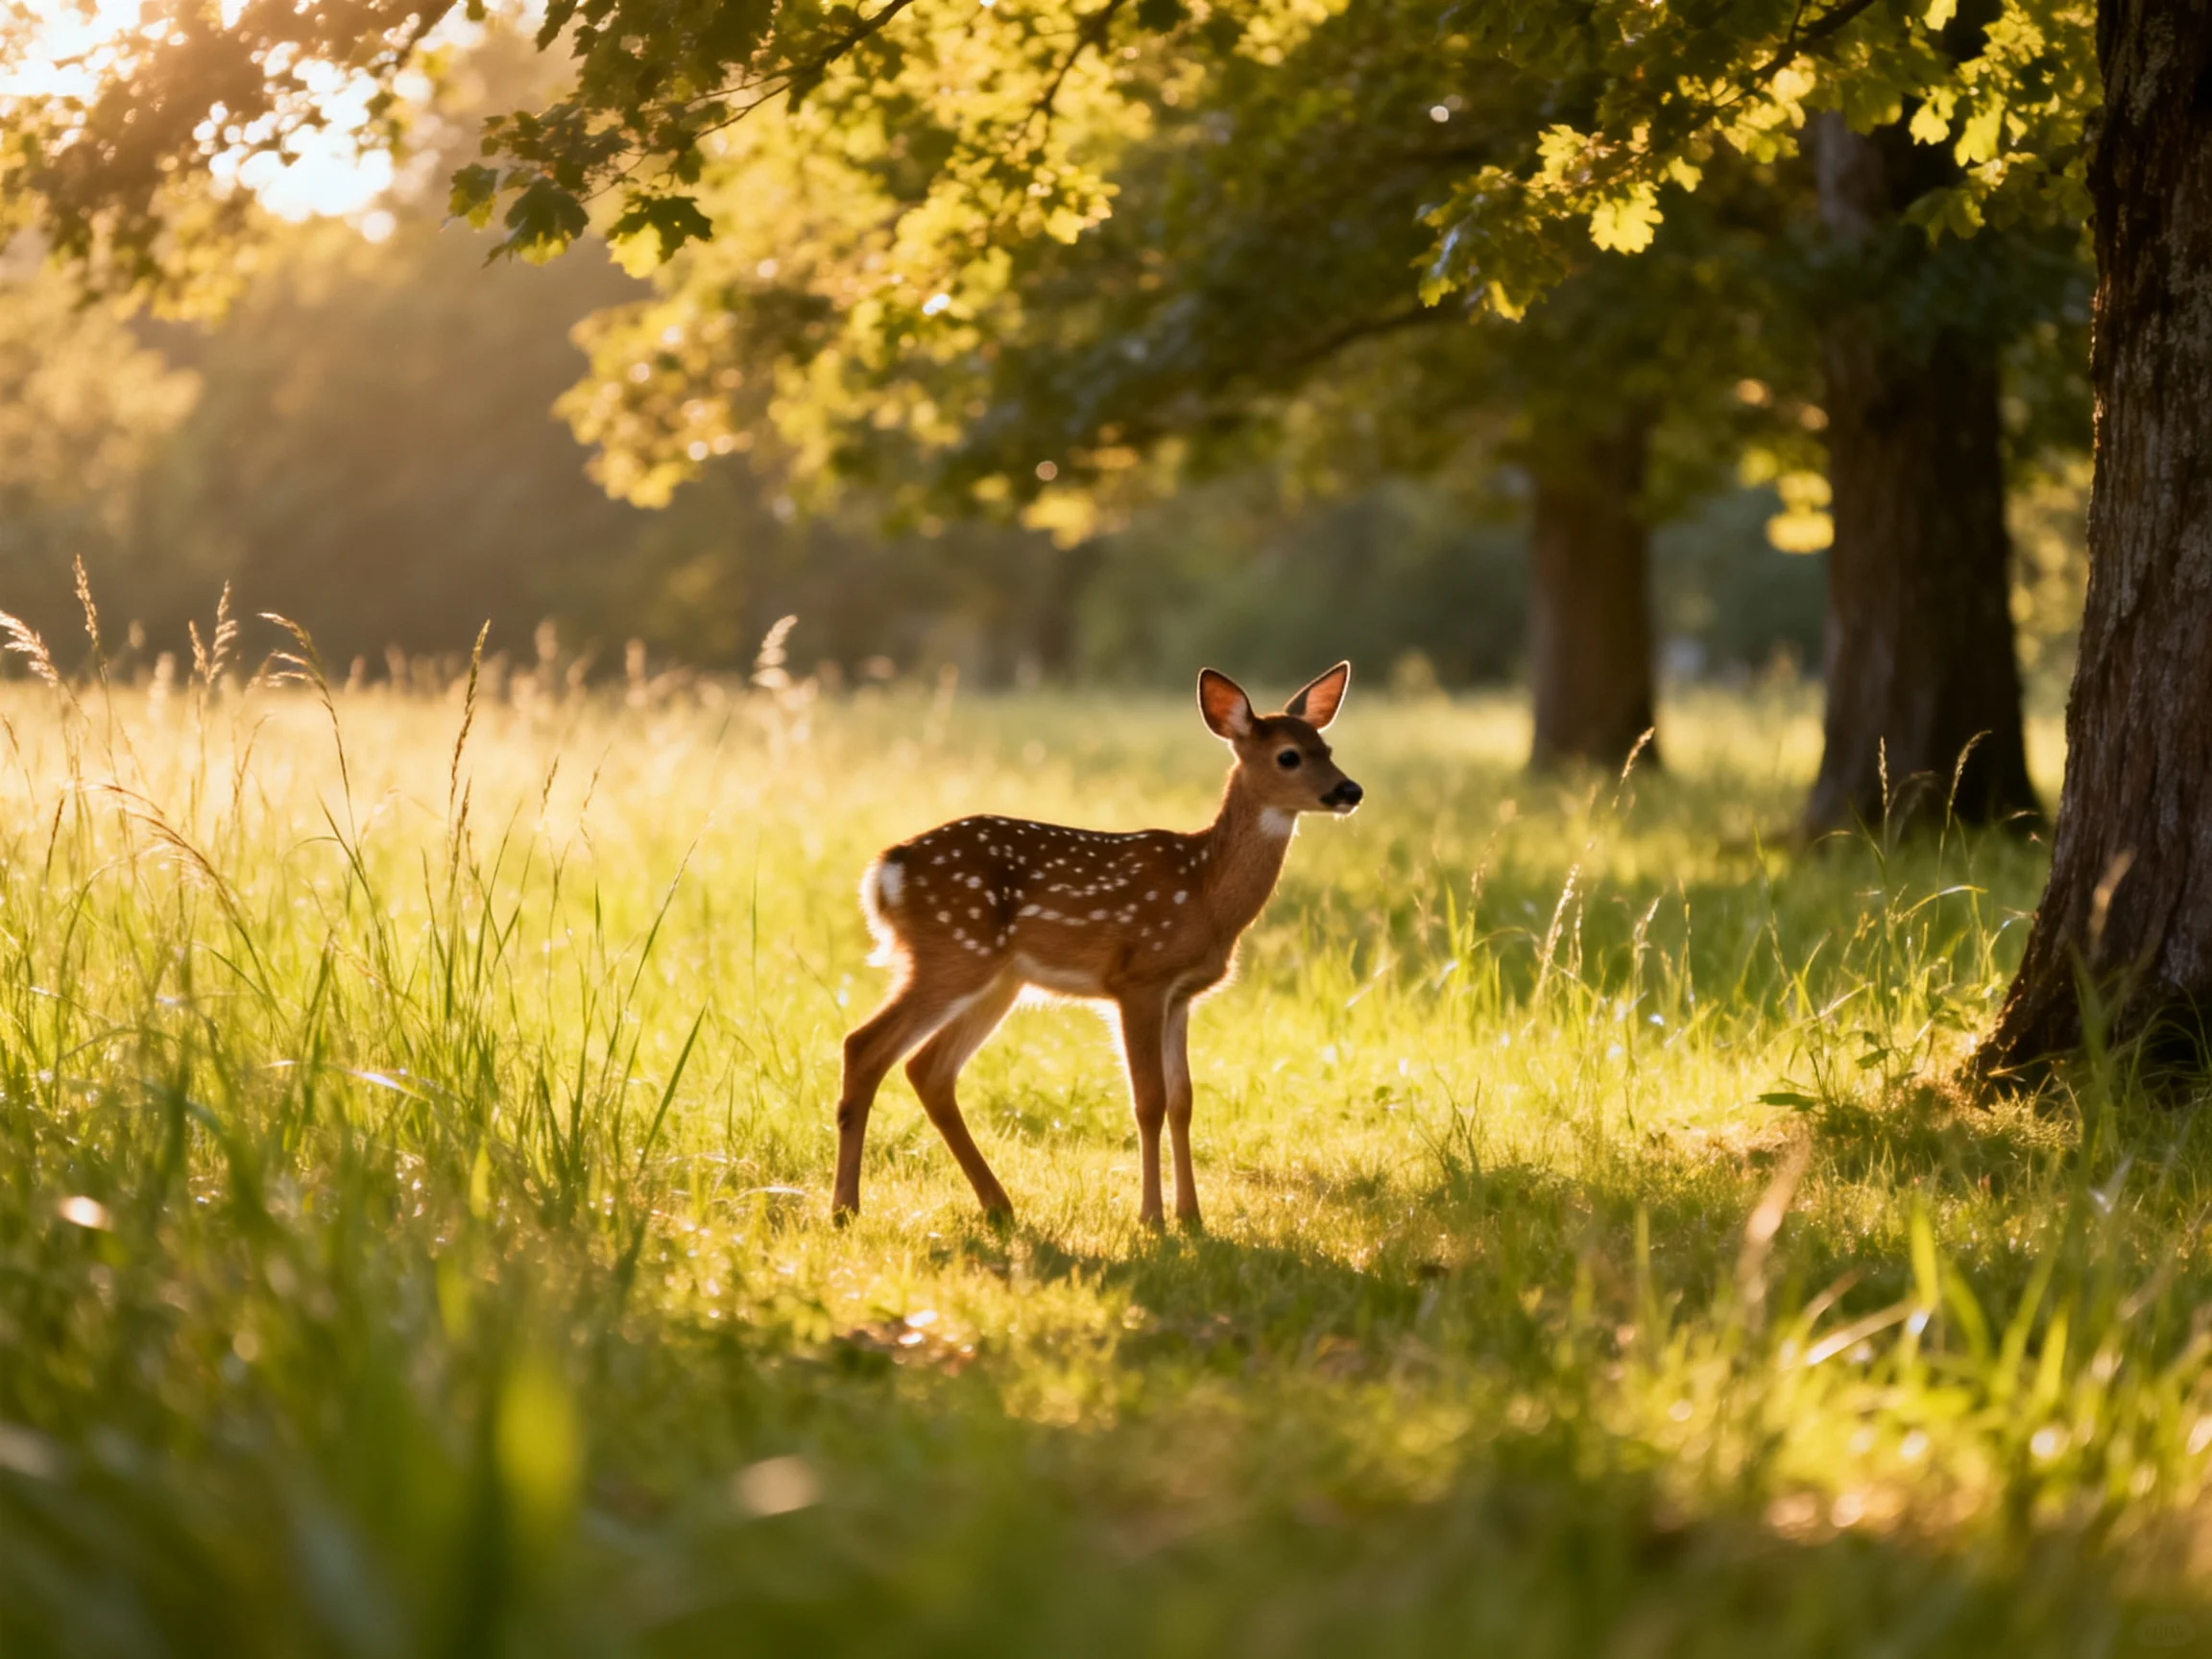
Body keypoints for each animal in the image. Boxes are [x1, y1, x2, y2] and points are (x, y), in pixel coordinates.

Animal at [831, 662, 1361, 1230]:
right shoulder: (1139, 978)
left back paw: (998, 1204)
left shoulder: (1181, 995)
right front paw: (1152, 1218)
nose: (1350, 790)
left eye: (1327, 746)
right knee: (864, 1045)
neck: (1205, 891)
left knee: (927, 1068)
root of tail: (888, 870)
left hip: (997, 979)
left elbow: (1183, 1100)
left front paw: (1192, 1217)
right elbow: (1148, 1100)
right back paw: (845, 1207)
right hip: (953, 952)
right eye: (1289, 755)